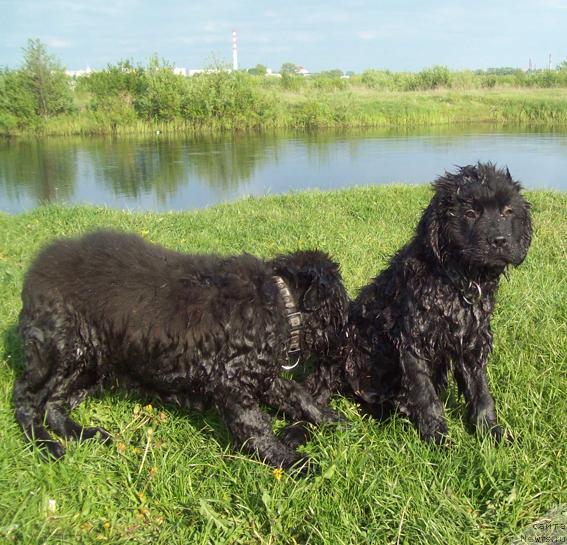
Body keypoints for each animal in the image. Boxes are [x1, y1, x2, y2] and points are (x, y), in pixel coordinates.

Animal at [14, 230, 350, 468]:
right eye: (338, 307)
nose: (347, 344)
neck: (279, 302)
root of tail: (33, 276)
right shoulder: (232, 381)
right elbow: (255, 426)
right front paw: (292, 462)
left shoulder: (259, 372)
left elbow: (297, 394)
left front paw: (329, 418)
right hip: (57, 351)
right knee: (25, 398)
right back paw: (46, 444)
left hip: (89, 362)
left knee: (54, 404)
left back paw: (83, 434)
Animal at [346, 162, 532, 442]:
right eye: (469, 213)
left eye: (507, 211)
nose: (499, 241)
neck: (457, 281)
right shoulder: (413, 342)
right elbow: (426, 397)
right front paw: (437, 438)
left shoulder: (472, 341)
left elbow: (481, 392)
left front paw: (490, 432)